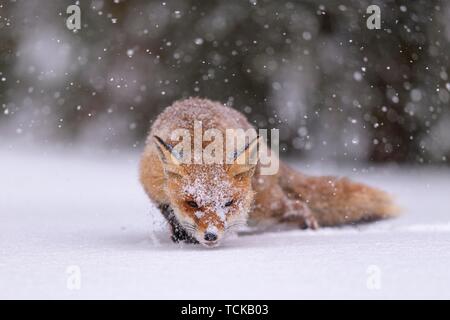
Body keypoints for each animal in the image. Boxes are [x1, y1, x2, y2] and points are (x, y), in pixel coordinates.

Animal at [140, 97, 398, 248]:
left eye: (228, 203)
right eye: (192, 203)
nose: (211, 236)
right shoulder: (152, 186)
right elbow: (170, 212)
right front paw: (182, 235)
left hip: (263, 207)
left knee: (300, 207)